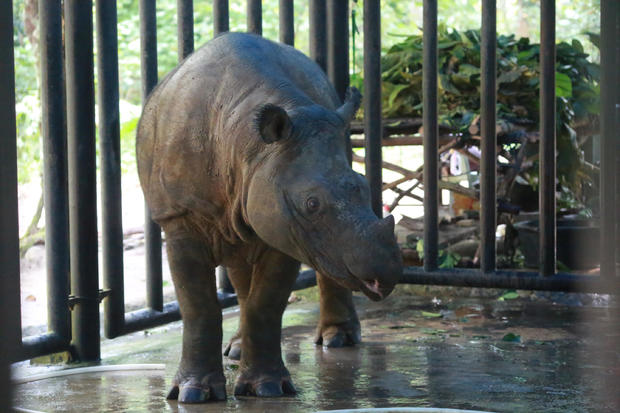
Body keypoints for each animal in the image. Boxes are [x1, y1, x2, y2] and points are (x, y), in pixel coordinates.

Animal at [137, 32, 402, 402]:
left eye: (364, 187)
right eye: (311, 204)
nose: (387, 271)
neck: (247, 147)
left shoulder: (285, 225)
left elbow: (266, 304)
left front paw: (267, 389)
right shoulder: (182, 217)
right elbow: (198, 306)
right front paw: (193, 394)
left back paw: (338, 341)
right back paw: (235, 350)